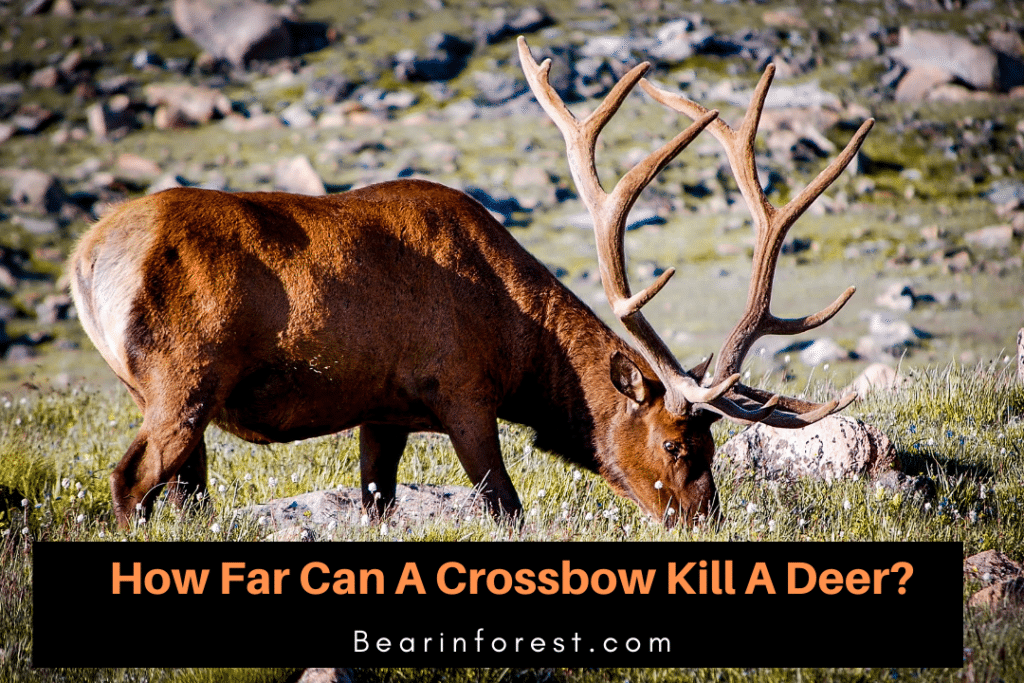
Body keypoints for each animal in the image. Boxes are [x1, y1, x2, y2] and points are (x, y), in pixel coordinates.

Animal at [69, 36, 873, 530]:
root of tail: (86, 259)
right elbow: (507, 508)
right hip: (183, 378)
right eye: (679, 445)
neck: (520, 344)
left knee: (185, 494)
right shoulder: (462, 392)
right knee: (129, 481)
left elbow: (377, 502)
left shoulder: (382, 411)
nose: (705, 522)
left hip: (168, 395)